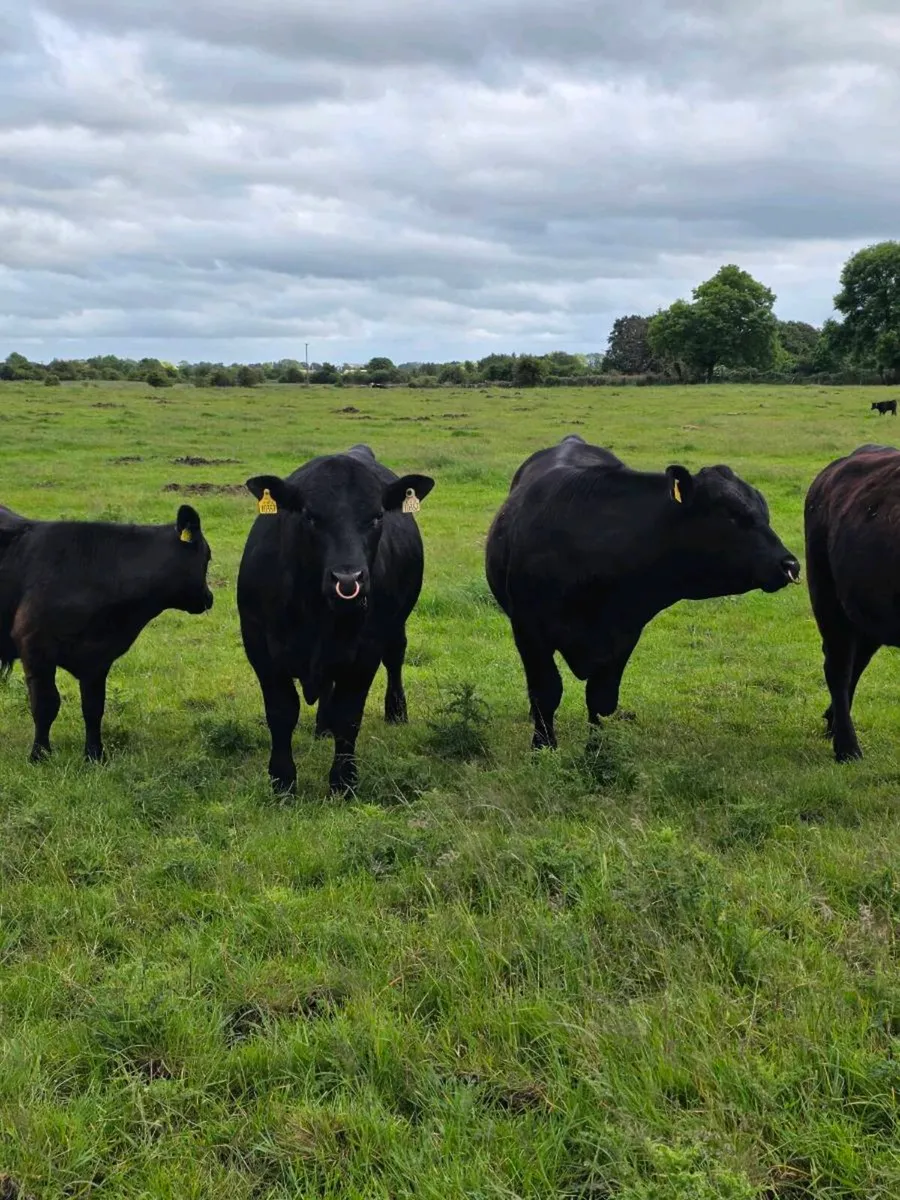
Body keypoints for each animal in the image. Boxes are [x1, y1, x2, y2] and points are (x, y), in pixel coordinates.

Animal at [0, 503, 213, 763]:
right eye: (208, 556)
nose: (209, 597)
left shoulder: (97, 658)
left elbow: (93, 708)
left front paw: (95, 755)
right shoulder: (34, 646)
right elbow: (45, 705)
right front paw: (39, 755)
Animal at [236, 444, 434, 794]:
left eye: (377, 516)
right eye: (310, 516)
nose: (348, 579)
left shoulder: (366, 652)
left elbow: (348, 715)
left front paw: (343, 781)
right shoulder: (259, 646)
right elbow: (281, 712)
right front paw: (282, 780)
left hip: (395, 625)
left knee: (395, 658)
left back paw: (396, 711)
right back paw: (322, 726)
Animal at [485, 434, 801, 750]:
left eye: (765, 512)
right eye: (731, 516)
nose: (790, 565)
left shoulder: (624, 635)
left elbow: (601, 698)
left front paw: (597, 750)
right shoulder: (529, 631)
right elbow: (546, 691)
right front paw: (543, 745)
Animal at [805, 443, 900, 761]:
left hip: (865, 615)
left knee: (854, 666)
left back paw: (833, 724)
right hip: (827, 599)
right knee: (838, 667)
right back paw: (847, 746)